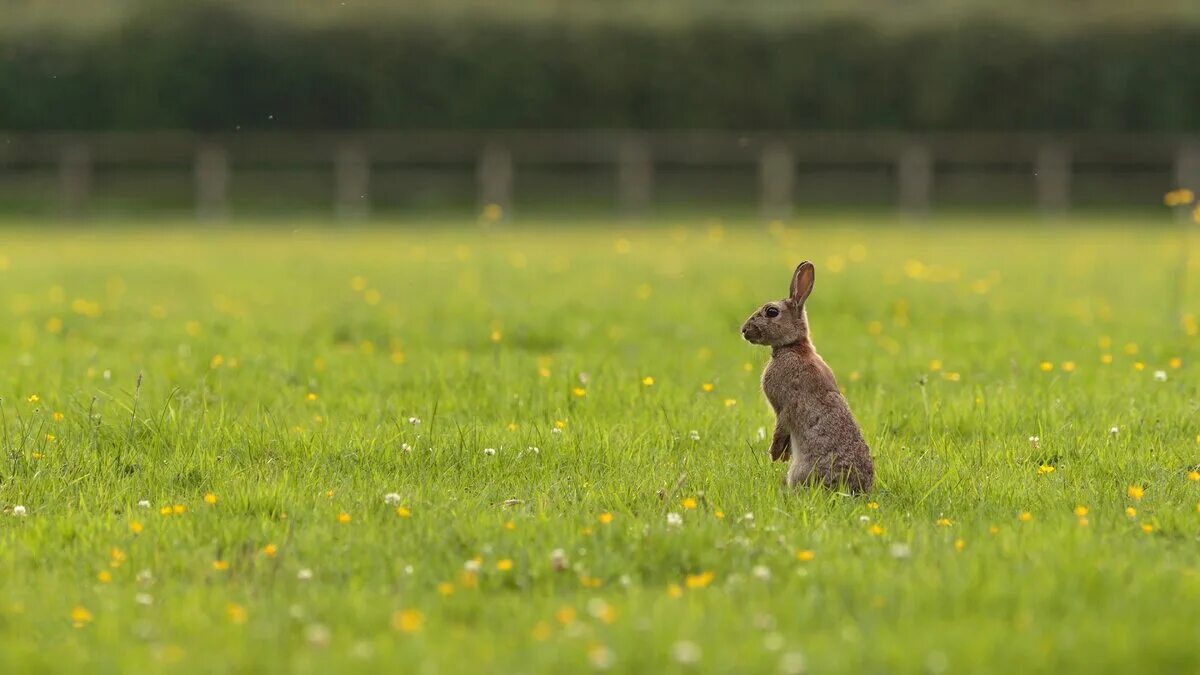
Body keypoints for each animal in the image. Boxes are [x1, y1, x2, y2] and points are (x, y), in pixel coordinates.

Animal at [734, 260, 878, 492]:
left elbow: (781, 427)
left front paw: (775, 454)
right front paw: (782, 455)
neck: (793, 346)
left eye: (772, 311)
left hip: (801, 469)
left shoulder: (786, 404)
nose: (745, 330)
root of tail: (857, 490)